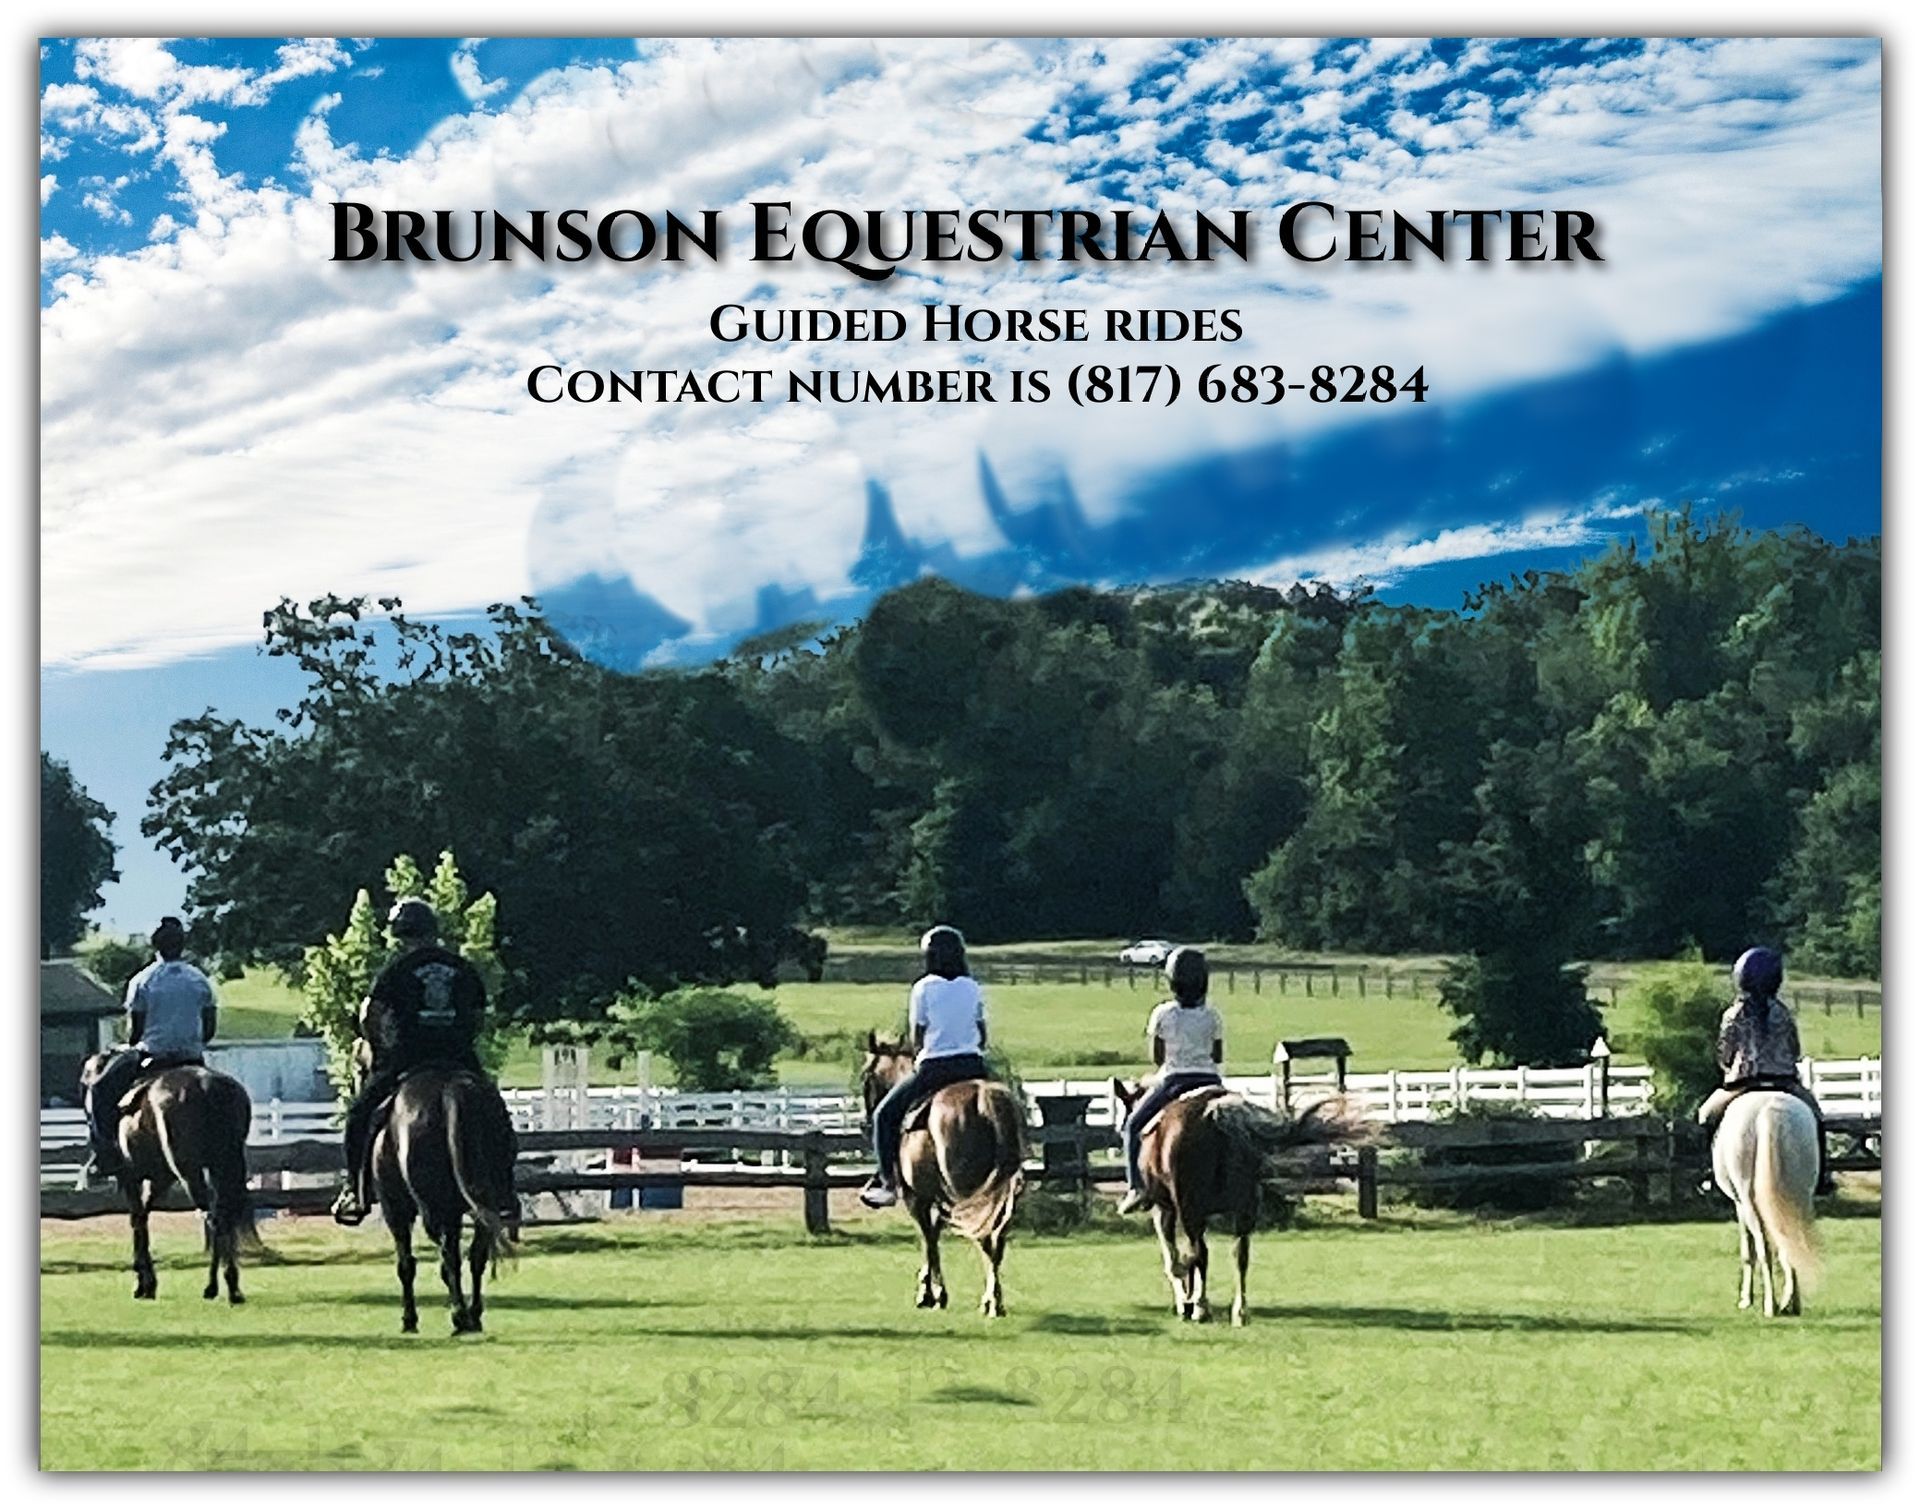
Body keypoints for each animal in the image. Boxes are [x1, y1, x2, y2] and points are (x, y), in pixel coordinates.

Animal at [78, 1052, 257, 1304]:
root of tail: (208, 1085)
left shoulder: (129, 1177)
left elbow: (137, 1220)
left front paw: (143, 1284)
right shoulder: (159, 1180)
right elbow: (143, 1217)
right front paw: (147, 1283)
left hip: (189, 1172)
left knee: (211, 1218)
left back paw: (214, 1287)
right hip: (224, 1167)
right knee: (223, 1218)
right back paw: (232, 1287)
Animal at [369, 1065, 519, 1335]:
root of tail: (452, 1089)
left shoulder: (395, 1210)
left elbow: (406, 1265)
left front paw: (409, 1319)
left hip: (433, 1209)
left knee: (450, 1257)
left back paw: (459, 1316)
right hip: (483, 1205)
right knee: (476, 1256)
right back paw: (473, 1315)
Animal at [859, 1035, 1027, 1317]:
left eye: (867, 1076)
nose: (865, 1121)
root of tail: (984, 1099)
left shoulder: (916, 1197)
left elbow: (927, 1237)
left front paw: (930, 1293)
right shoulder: (939, 1198)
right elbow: (935, 1234)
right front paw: (933, 1290)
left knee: (984, 1237)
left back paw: (991, 1301)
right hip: (1000, 1193)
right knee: (998, 1237)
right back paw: (995, 1299)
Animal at [1111, 1078, 1358, 1326]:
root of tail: (1215, 1113)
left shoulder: (1164, 1210)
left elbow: (1173, 1257)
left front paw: (1185, 1302)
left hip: (1190, 1210)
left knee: (1198, 1253)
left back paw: (1200, 1307)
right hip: (1245, 1207)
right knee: (1239, 1254)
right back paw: (1239, 1311)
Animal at [1711, 1089, 1822, 1317]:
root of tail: (1769, 1109)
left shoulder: (1739, 1205)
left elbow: (1748, 1251)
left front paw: (1746, 1299)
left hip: (1748, 1201)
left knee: (1764, 1249)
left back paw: (1771, 1305)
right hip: (1800, 1196)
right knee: (1791, 1243)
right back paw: (1791, 1303)